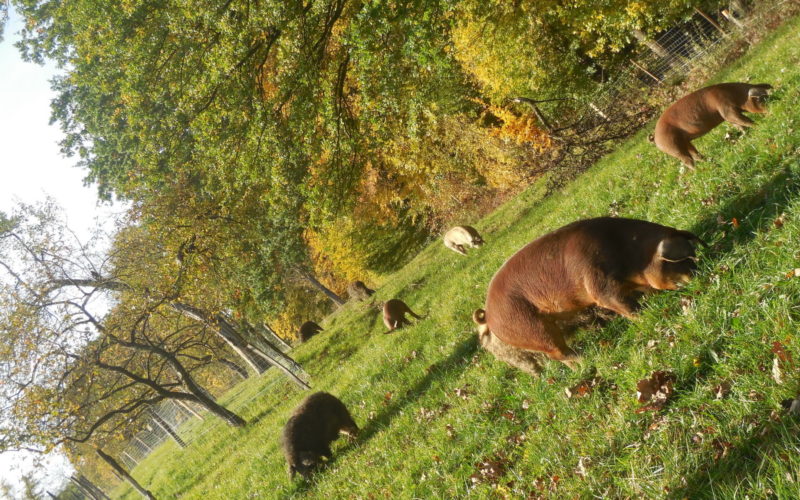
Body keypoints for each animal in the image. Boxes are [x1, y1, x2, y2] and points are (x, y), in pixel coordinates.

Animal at [472, 217, 704, 370]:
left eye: (693, 254)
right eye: (678, 262)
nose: (700, 274)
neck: (631, 257)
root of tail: (490, 317)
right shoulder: (599, 285)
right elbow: (626, 307)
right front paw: (645, 317)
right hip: (534, 330)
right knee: (560, 353)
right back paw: (588, 361)